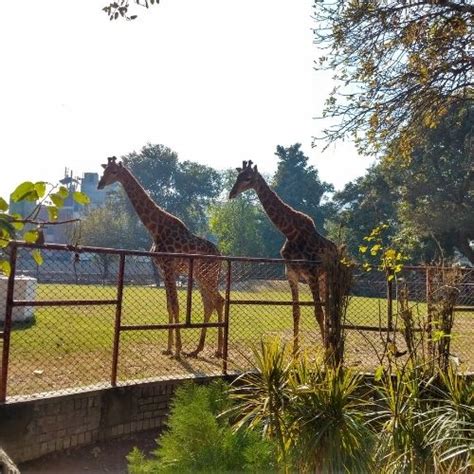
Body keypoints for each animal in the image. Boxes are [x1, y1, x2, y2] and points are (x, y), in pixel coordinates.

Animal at [96, 156, 224, 360]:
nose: (100, 184)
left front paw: (177, 350)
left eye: (114, 171)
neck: (155, 228)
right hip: (200, 276)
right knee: (210, 303)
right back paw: (199, 350)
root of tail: (219, 255)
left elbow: (176, 306)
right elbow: (169, 307)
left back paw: (216, 350)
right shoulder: (163, 271)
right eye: (104, 170)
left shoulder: (169, 268)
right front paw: (169, 348)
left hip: (207, 275)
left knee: (218, 301)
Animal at [228, 160, 336, 352]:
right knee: (328, 306)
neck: (291, 233)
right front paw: (294, 352)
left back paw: (329, 344)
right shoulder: (291, 274)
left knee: (329, 308)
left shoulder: (311, 275)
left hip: (329, 278)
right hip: (324, 279)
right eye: (238, 176)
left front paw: (324, 351)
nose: (231, 193)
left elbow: (318, 312)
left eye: (248, 178)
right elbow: (296, 312)